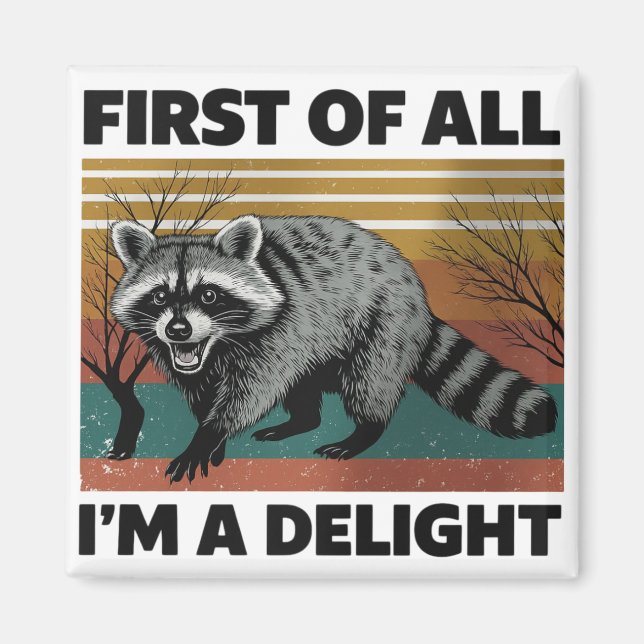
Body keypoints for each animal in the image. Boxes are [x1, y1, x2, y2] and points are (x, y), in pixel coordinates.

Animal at [110, 215, 557, 483]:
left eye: (208, 295)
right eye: (159, 297)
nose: (179, 330)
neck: (216, 344)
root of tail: (418, 294)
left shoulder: (278, 332)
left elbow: (250, 393)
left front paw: (209, 435)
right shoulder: (180, 354)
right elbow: (200, 390)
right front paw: (211, 437)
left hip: (381, 324)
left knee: (370, 382)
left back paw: (364, 432)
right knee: (303, 387)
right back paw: (300, 420)